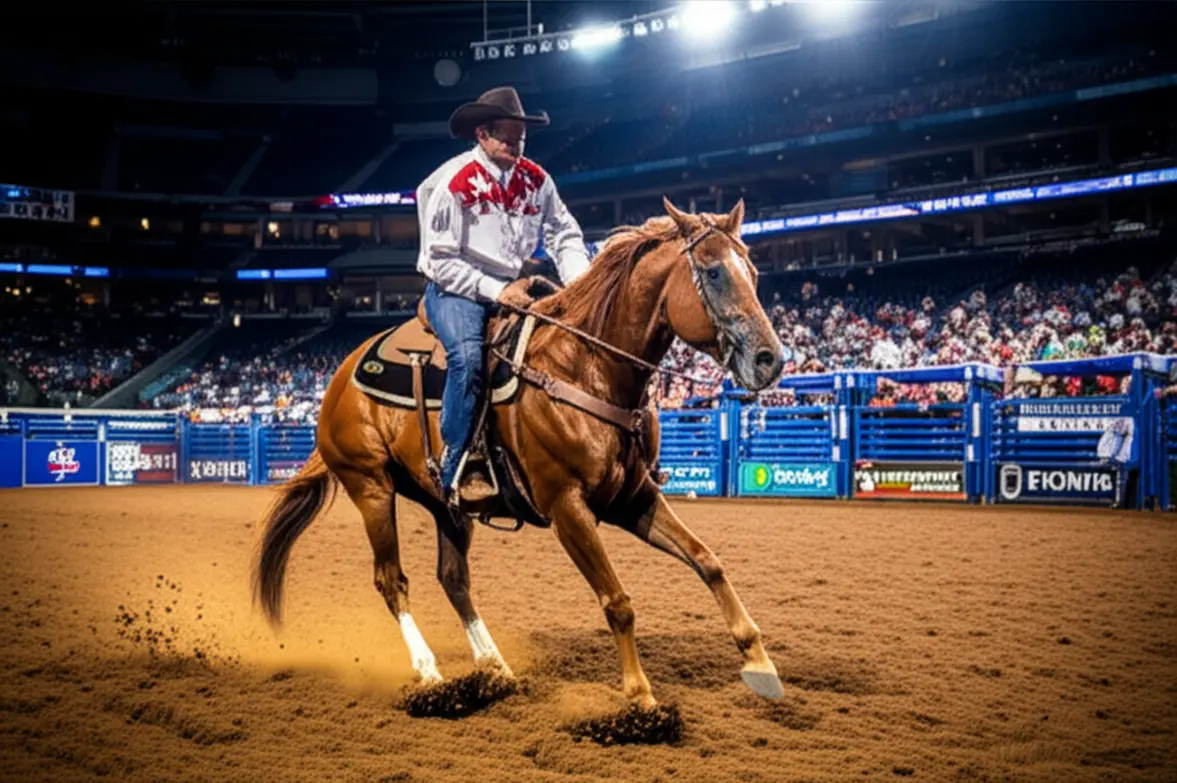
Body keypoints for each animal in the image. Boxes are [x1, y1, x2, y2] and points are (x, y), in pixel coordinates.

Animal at [253, 197, 788, 709]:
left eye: (754, 271)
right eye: (714, 272)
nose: (770, 359)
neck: (586, 367)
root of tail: (339, 380)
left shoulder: (631, 499)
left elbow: (707, 561)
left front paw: (760, 663)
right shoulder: (566, 506)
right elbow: (617, 601)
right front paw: (640, 695)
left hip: (443, 503)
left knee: (454, 579)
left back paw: (497, 668)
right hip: (371, 489)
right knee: (391, 580)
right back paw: (430, 672)